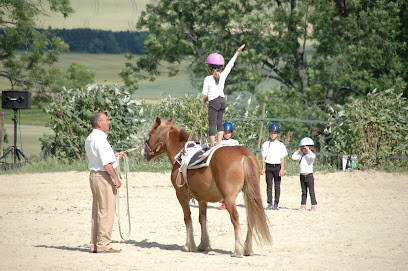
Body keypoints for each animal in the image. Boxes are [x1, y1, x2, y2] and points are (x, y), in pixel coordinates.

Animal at [140, 117, 270, 258]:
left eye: (150, 134)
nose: (143, 153)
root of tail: (243, 155)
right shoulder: (202, 197)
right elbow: (202, 219)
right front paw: (203, 244)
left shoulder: (181, 195)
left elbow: (187, 218)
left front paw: (189, 245)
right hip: (249, 194)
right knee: (251, 217)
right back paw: (247, 248)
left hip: (229, 198)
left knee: (235, 218)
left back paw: (238, 250)